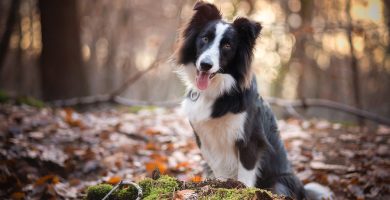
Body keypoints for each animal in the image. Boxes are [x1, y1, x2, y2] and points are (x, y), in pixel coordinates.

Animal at [175, 1, 330, 200]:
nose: (205, 65)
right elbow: (219, 171)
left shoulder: (249, 141)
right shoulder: (206, 140)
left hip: (280, 183)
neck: (219, 91)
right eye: (205, 38)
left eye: (227, 45)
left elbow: (246, 176)